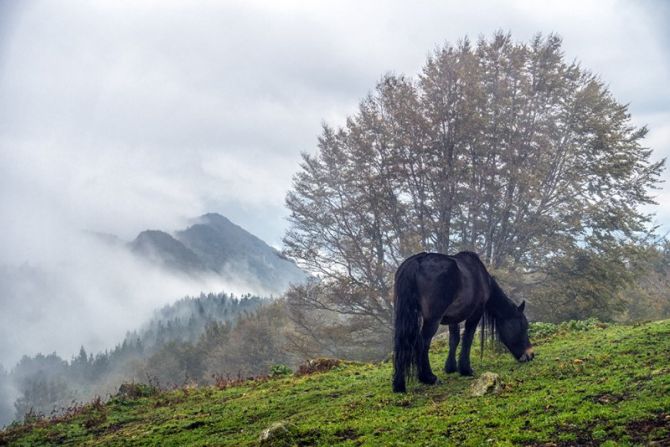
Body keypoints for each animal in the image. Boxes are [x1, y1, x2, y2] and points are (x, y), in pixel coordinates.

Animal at [394, 254, 536, 394]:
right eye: (523, 326)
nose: (531, 354)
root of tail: (415, 262)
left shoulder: (453, 318)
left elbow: (454, 339)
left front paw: (451, 367)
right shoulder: (476, 312)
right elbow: (468, 338)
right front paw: (466, 369)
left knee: (402, 345)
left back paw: (399, 385)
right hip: (432, 320)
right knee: (422, 343)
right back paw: (428, 377)